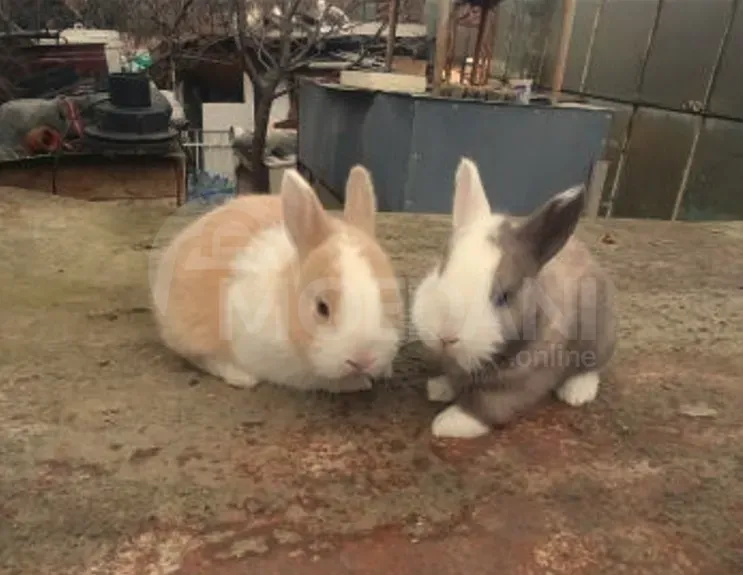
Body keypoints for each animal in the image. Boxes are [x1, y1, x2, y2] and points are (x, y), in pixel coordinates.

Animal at [150, 165, 404, 393]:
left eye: (391, 298)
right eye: (321, 308)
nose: (362, 360)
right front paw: (359, 382)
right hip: (190, 329)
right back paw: (240, 377)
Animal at [411, 158, 617, 438]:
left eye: (503, 296)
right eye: (441, 269)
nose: (446, 335)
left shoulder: (522, 379)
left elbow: (488, 403)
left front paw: (449, 423)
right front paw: (439, 388)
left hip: (598, 339)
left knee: (593, 367)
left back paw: (576, 393)